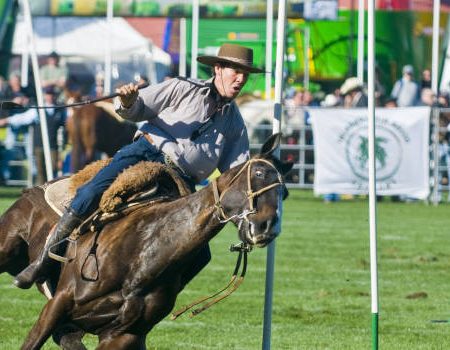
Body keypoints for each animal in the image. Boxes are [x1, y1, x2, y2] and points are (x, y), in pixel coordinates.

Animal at [0, 134, 292, 350]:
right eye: (258, 173)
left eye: (285, 192)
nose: (268, 226)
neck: (143, 256)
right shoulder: (58, 304)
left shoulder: (123, 336)